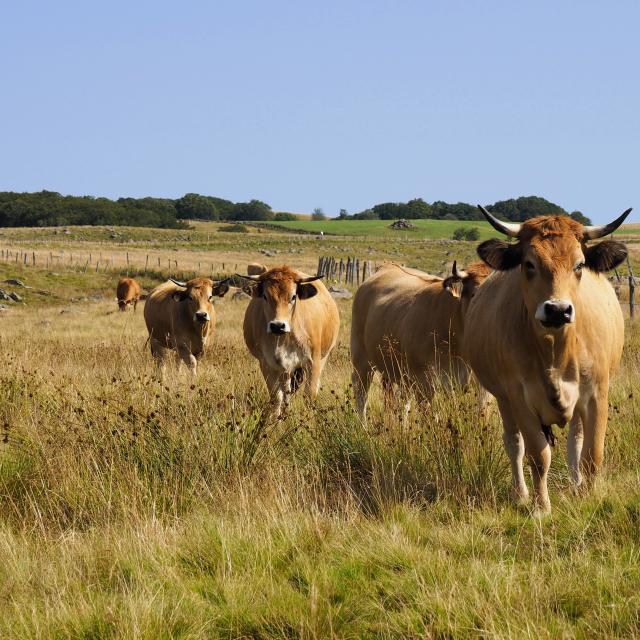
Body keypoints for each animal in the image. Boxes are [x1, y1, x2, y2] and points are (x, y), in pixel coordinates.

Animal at [238, 264, 340, 416]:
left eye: (293, 297)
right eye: (265, 296)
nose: (277, 325)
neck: (284, 338)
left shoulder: (313, 362)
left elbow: (309, 395)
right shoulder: (267, 364)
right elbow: (276, 397)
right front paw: (275, 420)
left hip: (322, 357)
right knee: (287, 391)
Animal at [464, 206, 632, 516]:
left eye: (579, 265)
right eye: (529, 264)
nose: (557, 310)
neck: (556, 353)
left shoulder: (597, 394)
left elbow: (592, 453)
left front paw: (589, 497)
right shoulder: (519, 398)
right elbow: (538, 454)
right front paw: (540, 507)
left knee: (575, 439)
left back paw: (576, 486)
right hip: (503, 400)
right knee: (513, 443)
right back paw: (521, 494)